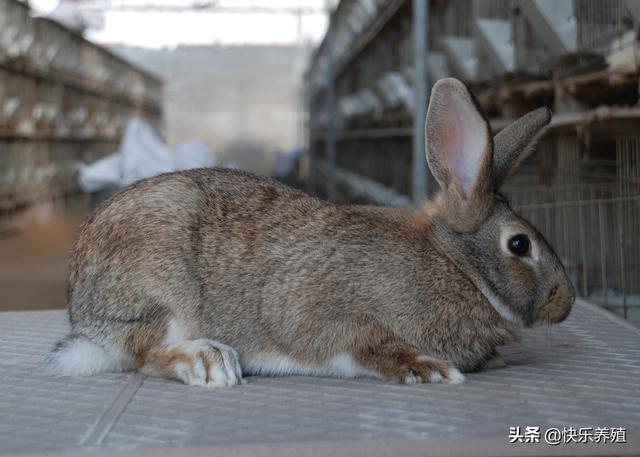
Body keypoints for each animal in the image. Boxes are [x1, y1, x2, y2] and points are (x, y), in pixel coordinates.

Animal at [45, 78, 576, 384]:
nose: (566, 303)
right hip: (158, 288)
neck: (456, 267)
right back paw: (209, 361)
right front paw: (429, 368)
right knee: (145, 350)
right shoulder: (335, 315)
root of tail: (81, 312)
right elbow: (368, 343)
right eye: (519, 244)